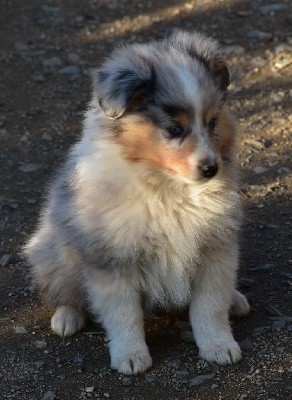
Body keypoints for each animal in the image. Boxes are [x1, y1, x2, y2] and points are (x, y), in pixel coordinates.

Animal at [24, 30, 250, 376]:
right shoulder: (111, 257)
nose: (211, 169)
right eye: (174, 129)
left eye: (213, 122)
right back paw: (66, 317)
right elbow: (123, 314)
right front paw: (130, 357)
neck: (168, 189)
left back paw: (236, 299)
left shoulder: (216, 246)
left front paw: (219, 346)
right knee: (65, 289)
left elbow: (210, 304)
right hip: (52, 251)